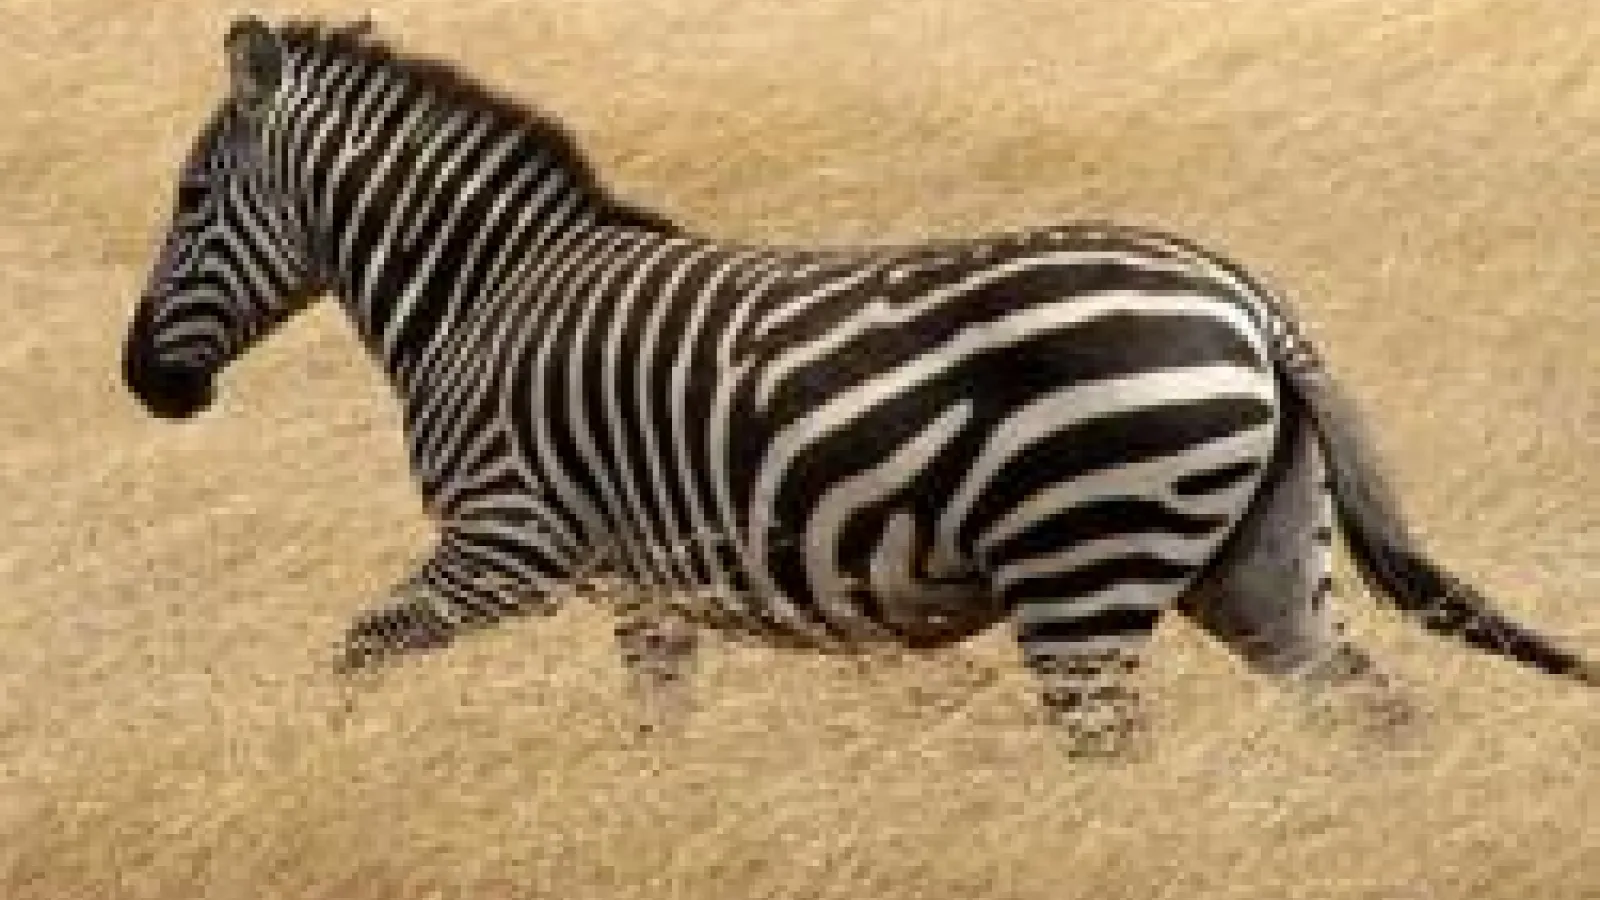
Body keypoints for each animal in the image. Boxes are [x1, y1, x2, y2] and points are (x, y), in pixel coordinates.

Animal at [123, 17, 1595, 755]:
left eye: (188, 197)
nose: (145, 387)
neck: (483, 297)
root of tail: (1248, 301)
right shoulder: (637, 581)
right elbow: (657, 732)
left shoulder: (510, 542)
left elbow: (354, 653)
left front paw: (327, 761)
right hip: (1257, 563)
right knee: (1377, 719)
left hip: (1084, 559)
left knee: (1117, 756)